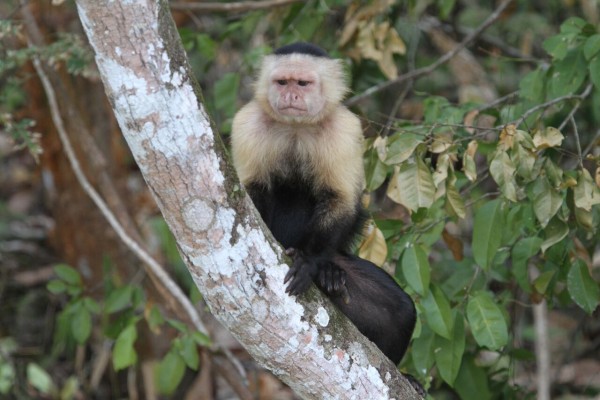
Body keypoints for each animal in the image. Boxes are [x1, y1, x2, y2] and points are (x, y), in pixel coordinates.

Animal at [231, 42, 418, 368]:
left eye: (303, 83)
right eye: (283, 82)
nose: (290, 96)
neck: (297, 128)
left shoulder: (344, 130)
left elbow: (341, 200)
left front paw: (308, 261)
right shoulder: (246, 125)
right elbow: (251, 197)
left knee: (400, 310)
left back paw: (329, 274)